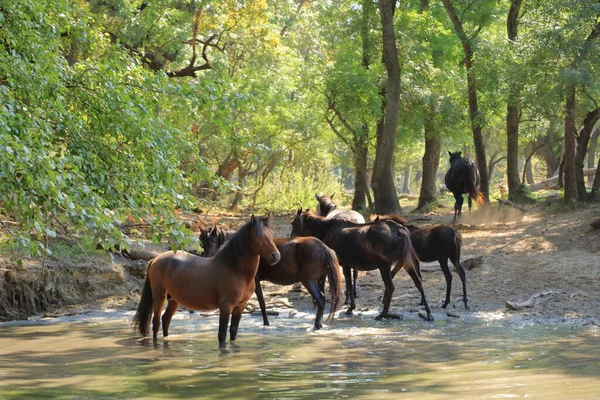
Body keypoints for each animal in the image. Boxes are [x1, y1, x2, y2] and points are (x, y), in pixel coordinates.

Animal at [132, 216, 280, 346]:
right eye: (260, 236)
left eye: (271, 235)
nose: (276, 256)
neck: (236, 270)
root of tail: (155, 259)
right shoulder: (226, 306)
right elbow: (222, 335)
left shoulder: (240, 307)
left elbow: (233, 332)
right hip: (159, 297)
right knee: (156, 323)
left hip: (174, 300)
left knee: (165, 320)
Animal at [199, 228, 342, 332]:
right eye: (202, 243)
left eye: (212, 242)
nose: (205, 258)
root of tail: (324, 247)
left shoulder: (254, 281)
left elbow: (261, 302)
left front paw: (266, 323)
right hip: (320, 280)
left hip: (309, 281)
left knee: (321, 299)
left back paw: (316, 326)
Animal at [290, 209, 432, 322]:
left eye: (293, 223)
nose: (292, 239)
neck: (327, 232)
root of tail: (399, 230)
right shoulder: (347, 264)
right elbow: (349, 284)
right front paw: (351, 307)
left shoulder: (342, 264)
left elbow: (346, 284)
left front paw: (350, 307)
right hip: (406, 261)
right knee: (418, 282)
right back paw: (428, 313)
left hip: (384, 264)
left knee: (391, 287)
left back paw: (383, 314)